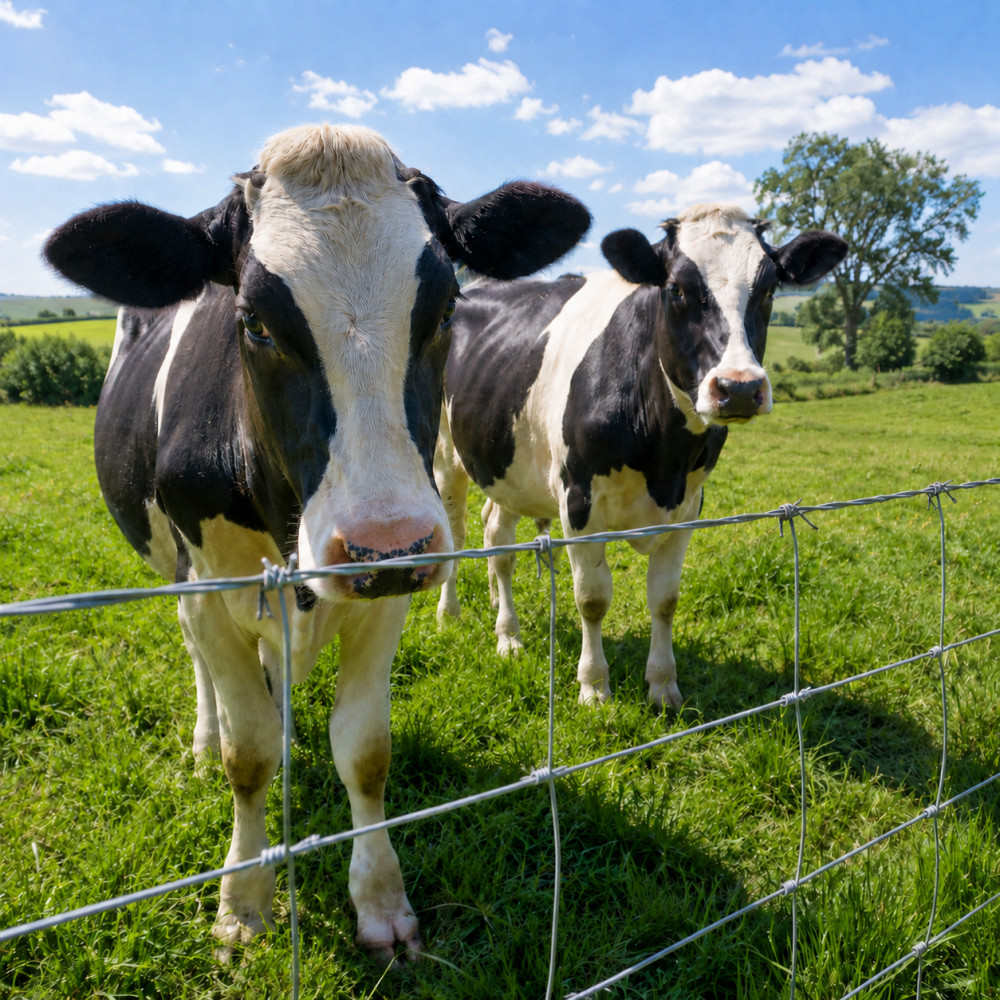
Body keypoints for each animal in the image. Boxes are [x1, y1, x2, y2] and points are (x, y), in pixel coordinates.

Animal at [42, 123, 590, 961]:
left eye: (445, 310)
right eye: (255, 323)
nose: (385, 541)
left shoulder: (388, 594)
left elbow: (364, 750)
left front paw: (382, 904)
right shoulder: (209, 587)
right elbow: (247, 755)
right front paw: (242, 903)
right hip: (175, 574)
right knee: (201, 666)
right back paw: (203, 738)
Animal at [434, 203, 846, 709]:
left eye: (769, 289)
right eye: (676, 289)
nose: (739, 388)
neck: (663, 458)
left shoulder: (688, 506)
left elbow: (665, 599)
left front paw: (664, 685)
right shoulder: (579, 503)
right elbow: (592, 598)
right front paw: (594, 687)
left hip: (508, 462)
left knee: (498, 539)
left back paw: (503, 620)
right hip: (446, 453)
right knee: (459, 533)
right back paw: (462, 616)